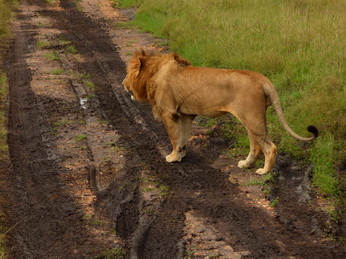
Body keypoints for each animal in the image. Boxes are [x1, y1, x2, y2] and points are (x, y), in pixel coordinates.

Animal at [122, 51, 318, 176]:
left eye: (127, 73)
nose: (123, 84)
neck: (154, 72)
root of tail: (261, 78)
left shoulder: (169, 113)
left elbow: (174, 138)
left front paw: (173, 157)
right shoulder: (185, 115)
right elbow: (183, 138)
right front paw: (182, 155)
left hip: (252, 118)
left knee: (270, 147)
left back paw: (263, 171)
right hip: (251, 120)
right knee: (256, 146)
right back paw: (245, 164)